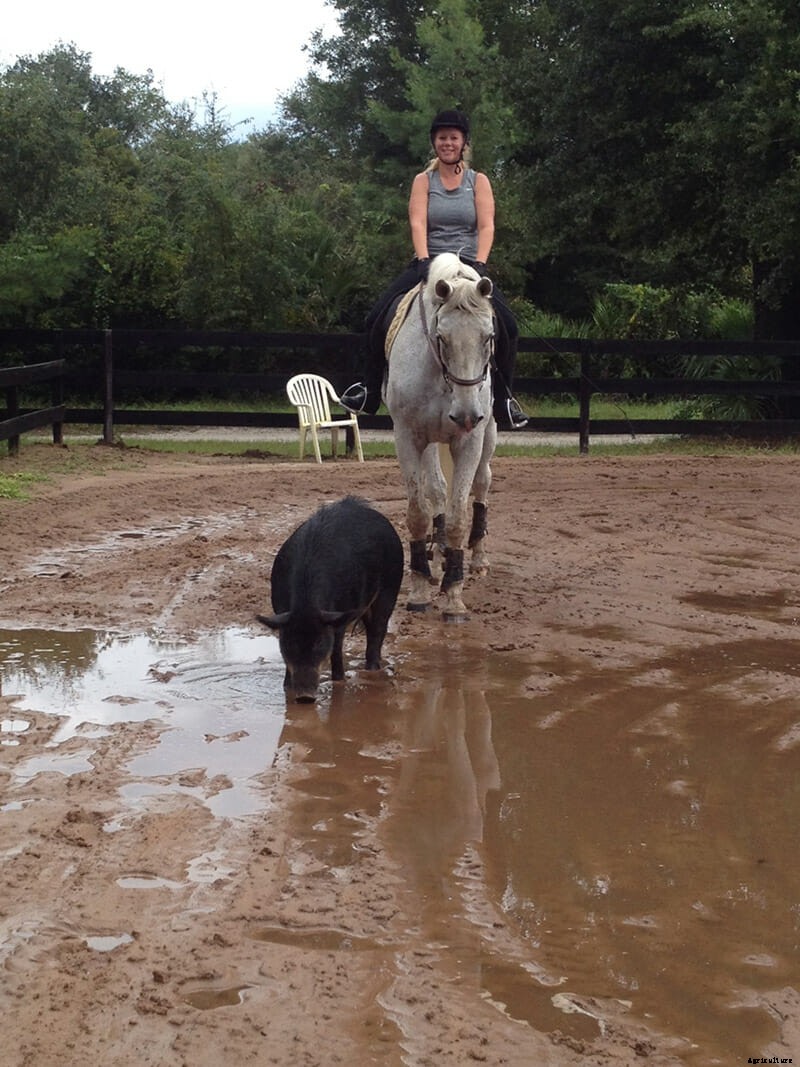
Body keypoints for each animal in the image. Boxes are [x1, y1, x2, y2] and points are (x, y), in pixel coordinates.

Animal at [257, 496, 404, 702]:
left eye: (319, 643)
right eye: (290, 643)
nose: (305, 697)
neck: (306, 605)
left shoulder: (339, 616)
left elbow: (336, 652)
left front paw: (339, 682)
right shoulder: (281, 612)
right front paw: (287, 687)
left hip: (391, 588)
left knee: (377, 633)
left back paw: (373, 670)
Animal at [385, 252, 498, 621]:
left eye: (488, 337)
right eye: (442, 338)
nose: (466, 415)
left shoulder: (469, 441)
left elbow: (459, 517)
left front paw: (453, 597)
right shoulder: (408, 438)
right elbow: (419, 511)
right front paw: (420, 588)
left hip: (488, 435)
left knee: (482, 484)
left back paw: (477, 560)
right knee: (436, 489)